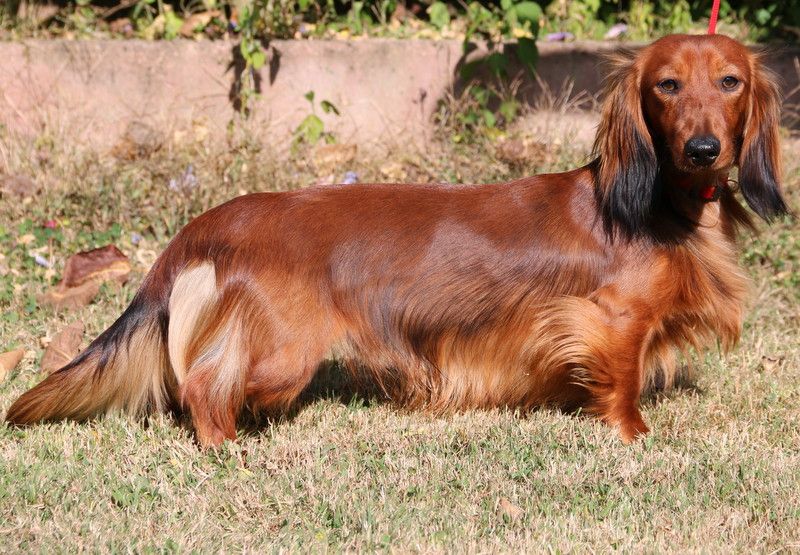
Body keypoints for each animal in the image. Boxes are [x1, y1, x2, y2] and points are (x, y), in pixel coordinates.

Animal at [5, 34, 787, 446]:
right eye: (665, 86)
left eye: (729, 81)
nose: (704, 148)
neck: (659, 205)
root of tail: (207, 223)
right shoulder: (612, 320)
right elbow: (621, 381)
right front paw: (632, 435)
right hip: (283, 353)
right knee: (203, 384)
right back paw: (225, 446)